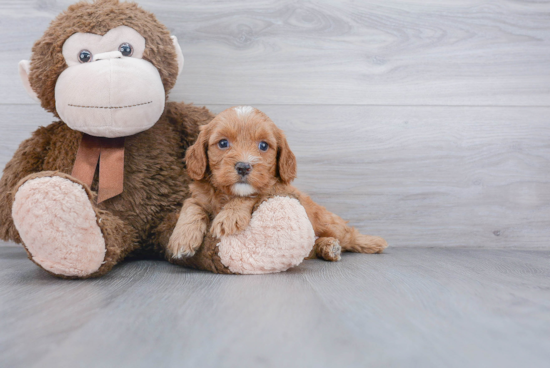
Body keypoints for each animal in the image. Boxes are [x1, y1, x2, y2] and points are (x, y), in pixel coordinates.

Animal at [168, 105, 388, 262]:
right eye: (223, 143)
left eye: (264, 145)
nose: (243, 167)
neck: (228, 194)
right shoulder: (199, 195)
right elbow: (191, 205)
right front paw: (182, 238)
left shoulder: (276, 189)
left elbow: (253, 193)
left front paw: (229, 216)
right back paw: (328, 247)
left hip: (328, 222)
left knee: (348, 235)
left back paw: (373, 242)